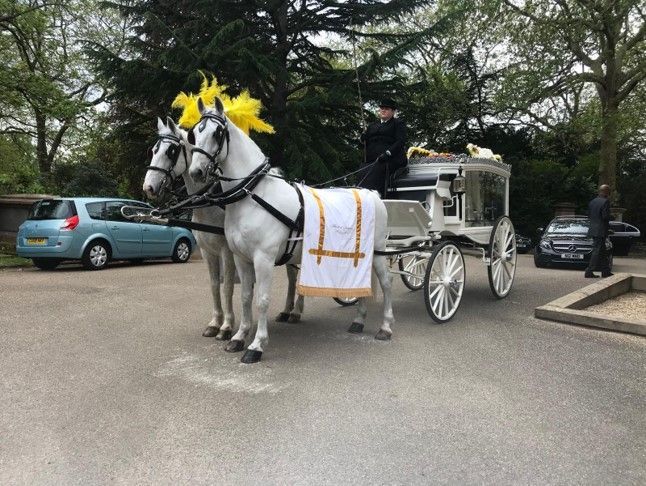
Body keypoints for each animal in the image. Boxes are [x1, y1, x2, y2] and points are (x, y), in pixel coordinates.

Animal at [187, 98, 394, 362]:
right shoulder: (241, 258)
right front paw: (239, 337)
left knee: (386, 284)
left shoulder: (263, 259)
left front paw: (256, 345)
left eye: (217, 133)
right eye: (194, 133)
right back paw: (358, 321)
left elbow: (262, 300)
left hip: (377, 253)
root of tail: (372, 194)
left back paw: (385, 327)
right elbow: (245, 297)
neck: (255, 196)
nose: (196, 172)